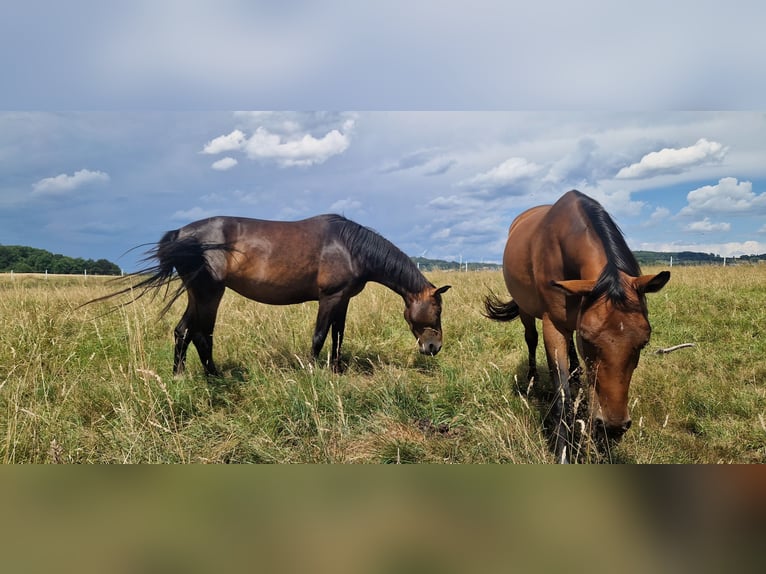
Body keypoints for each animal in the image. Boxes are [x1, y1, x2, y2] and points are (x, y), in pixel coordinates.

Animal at [92, 214, 451, 376]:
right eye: (438, 310)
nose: (433, 348)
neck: (350, 246)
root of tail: (181, 233)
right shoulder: (329, 297)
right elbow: (320, 335)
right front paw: (312, 371)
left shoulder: (344, 299)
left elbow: (338, 335)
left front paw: (336, 371)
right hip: (209, 293)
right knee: (201, 333)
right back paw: (214, 376)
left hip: (196, 293)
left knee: (183, 331)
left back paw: (179, 376)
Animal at [484, 190, 670, 462]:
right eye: (589, 340)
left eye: (643, 343)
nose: (613, 426)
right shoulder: (553, 326)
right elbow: (562, 398)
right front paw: (563, 452)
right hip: (526, 310)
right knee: (531, 338)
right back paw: (532, 380)